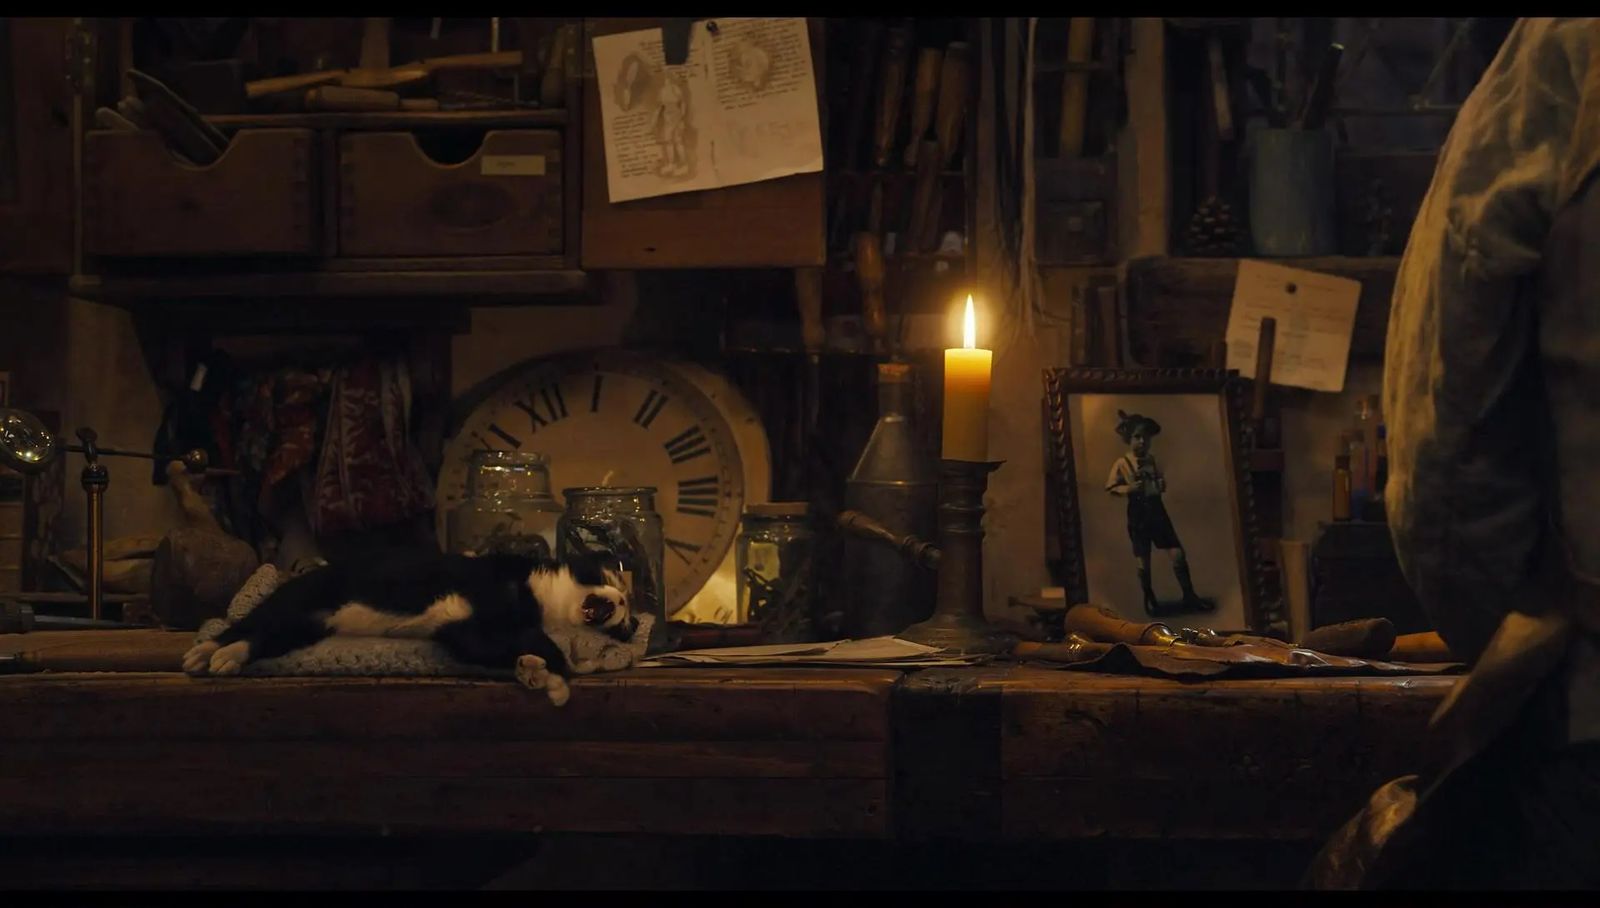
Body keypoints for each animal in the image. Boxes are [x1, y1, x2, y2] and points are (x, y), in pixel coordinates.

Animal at [183, 549, 636, 706]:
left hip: (305, 627)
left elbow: (520, 646)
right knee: (247, 626)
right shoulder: (485, 592)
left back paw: (219, 656)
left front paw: (542, 675)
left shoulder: (464, 630)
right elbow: (549, 647)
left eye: (627, 625)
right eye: (607, 578)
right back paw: (212, 652)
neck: (540, 599)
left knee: (265, 634)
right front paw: (552, 677)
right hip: (299, 603)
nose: (622, 608)